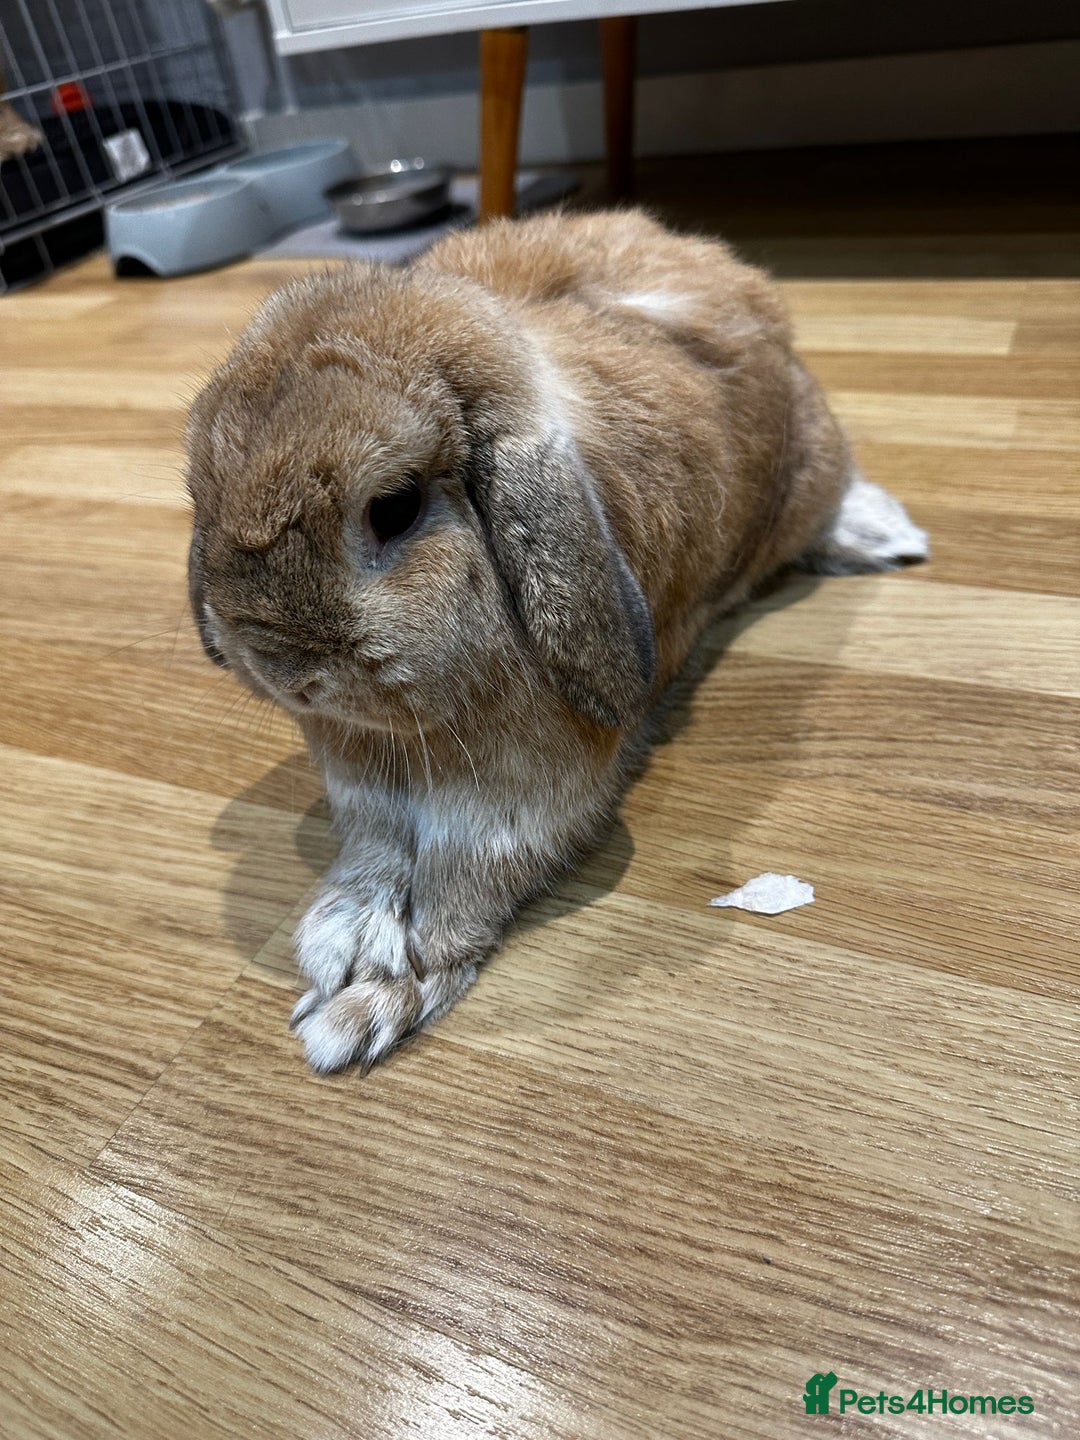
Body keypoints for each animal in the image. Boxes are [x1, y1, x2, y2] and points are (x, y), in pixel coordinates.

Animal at [186, 208, 927, 1074]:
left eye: (394, 507)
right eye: (201, 494)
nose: (286, 670)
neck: (419, 734)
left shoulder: (525, 803)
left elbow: (461, 896)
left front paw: (368, 1006)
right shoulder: (364, 785)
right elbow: (372, 860)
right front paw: (343, 945)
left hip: (811, 476)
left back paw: (886, 538)